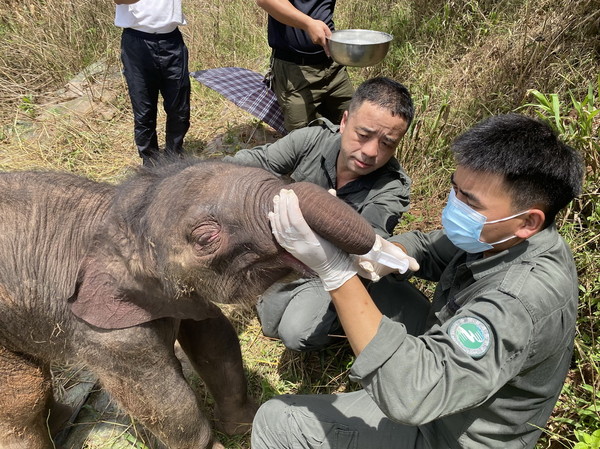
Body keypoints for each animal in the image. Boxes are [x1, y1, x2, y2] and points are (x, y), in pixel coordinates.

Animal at [0, 158, 376, 448]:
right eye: (205, 238)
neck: (112, 218)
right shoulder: (102, 333)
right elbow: (163, 399)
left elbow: (214, 338)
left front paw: (249, 421)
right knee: (24, 394)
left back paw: (62, 418)